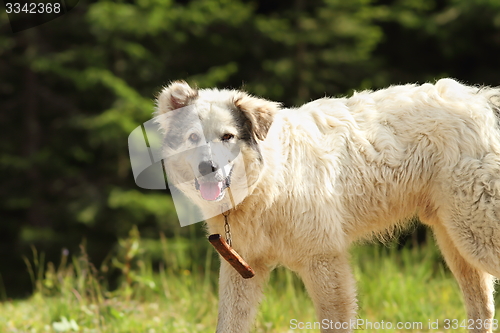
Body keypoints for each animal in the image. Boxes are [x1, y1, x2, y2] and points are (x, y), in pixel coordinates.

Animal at [156, 78, 500, 332]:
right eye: (192, 138)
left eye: (227, 136)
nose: (207, 167)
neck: (270, 181)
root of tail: (481, 100)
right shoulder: (242, 269)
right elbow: (227, 324)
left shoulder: (324, 261)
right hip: (457, 242)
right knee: (482, 309)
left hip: (476, 237)